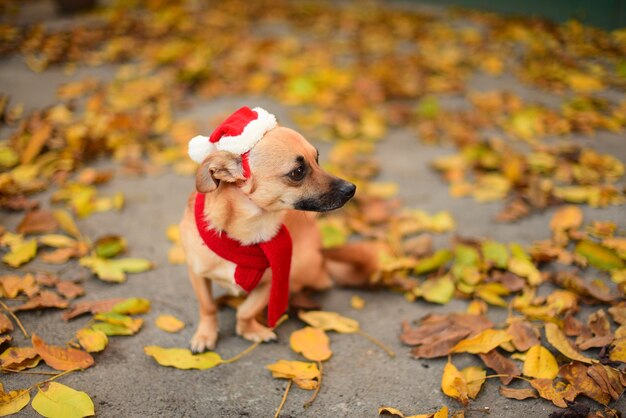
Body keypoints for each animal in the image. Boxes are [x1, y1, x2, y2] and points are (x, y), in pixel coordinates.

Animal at [178, 108, 358, 352]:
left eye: (317, 158)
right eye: (298, 172)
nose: (351, 189)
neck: (249, 230)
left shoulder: (275, 279)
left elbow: (247, 310)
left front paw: (251, 330)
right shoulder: (196, 274)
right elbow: (207, 307)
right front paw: (206, 334)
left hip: (303, 266)